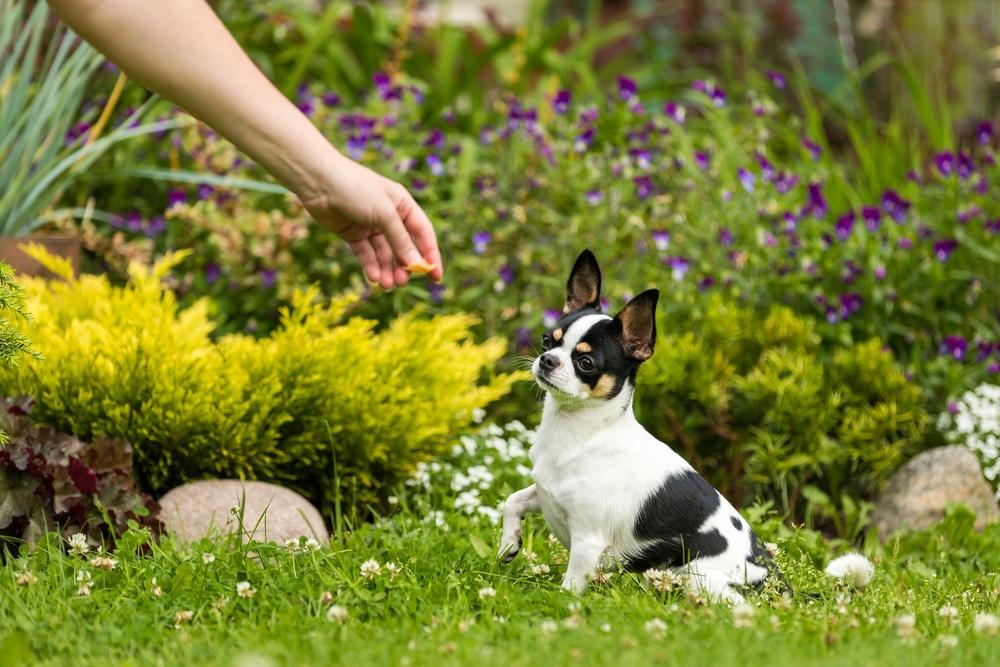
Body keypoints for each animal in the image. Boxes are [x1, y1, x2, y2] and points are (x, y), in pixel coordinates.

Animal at [500, 252, 788, 604]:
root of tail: (770, 576)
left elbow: (570, 586)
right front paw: (509, 543)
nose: (547, 360)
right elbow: (512, 500)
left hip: (700, 578)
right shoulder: (546, 494)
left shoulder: (587, 540)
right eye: (546, 341)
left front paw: (560, 606)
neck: (577, 430)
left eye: (586, 364)